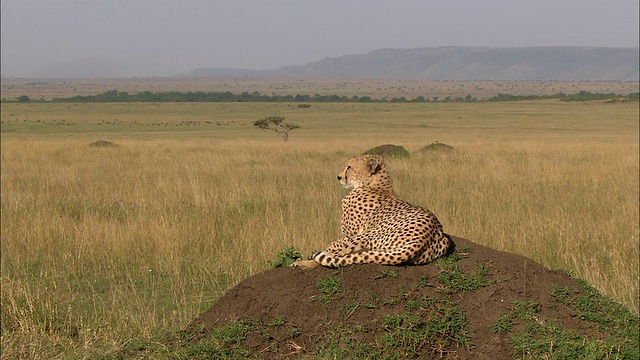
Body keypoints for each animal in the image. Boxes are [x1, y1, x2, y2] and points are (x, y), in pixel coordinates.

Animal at [292, 153, 452, 268]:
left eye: (349, 167)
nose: (338, 177)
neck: (374, 184)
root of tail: (426, 236)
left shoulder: (350, 235)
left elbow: (333, 245)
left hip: (367, 235)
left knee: (337, 256)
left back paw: (301, 263)